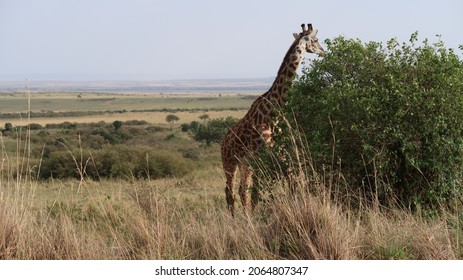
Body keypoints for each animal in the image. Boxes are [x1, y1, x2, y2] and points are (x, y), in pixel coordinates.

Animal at [222, 23, 326, 217]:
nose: (323, 51)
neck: (272, 113)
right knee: (229, 191)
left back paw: (246, 218)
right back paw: (234, 220)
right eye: (315, 40)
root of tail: (223, 141)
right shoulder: (267, 154)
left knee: (241, 190)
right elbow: (283, 183)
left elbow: (285, 181)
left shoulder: (274, 154)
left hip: (245, 164)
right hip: (229, 161)